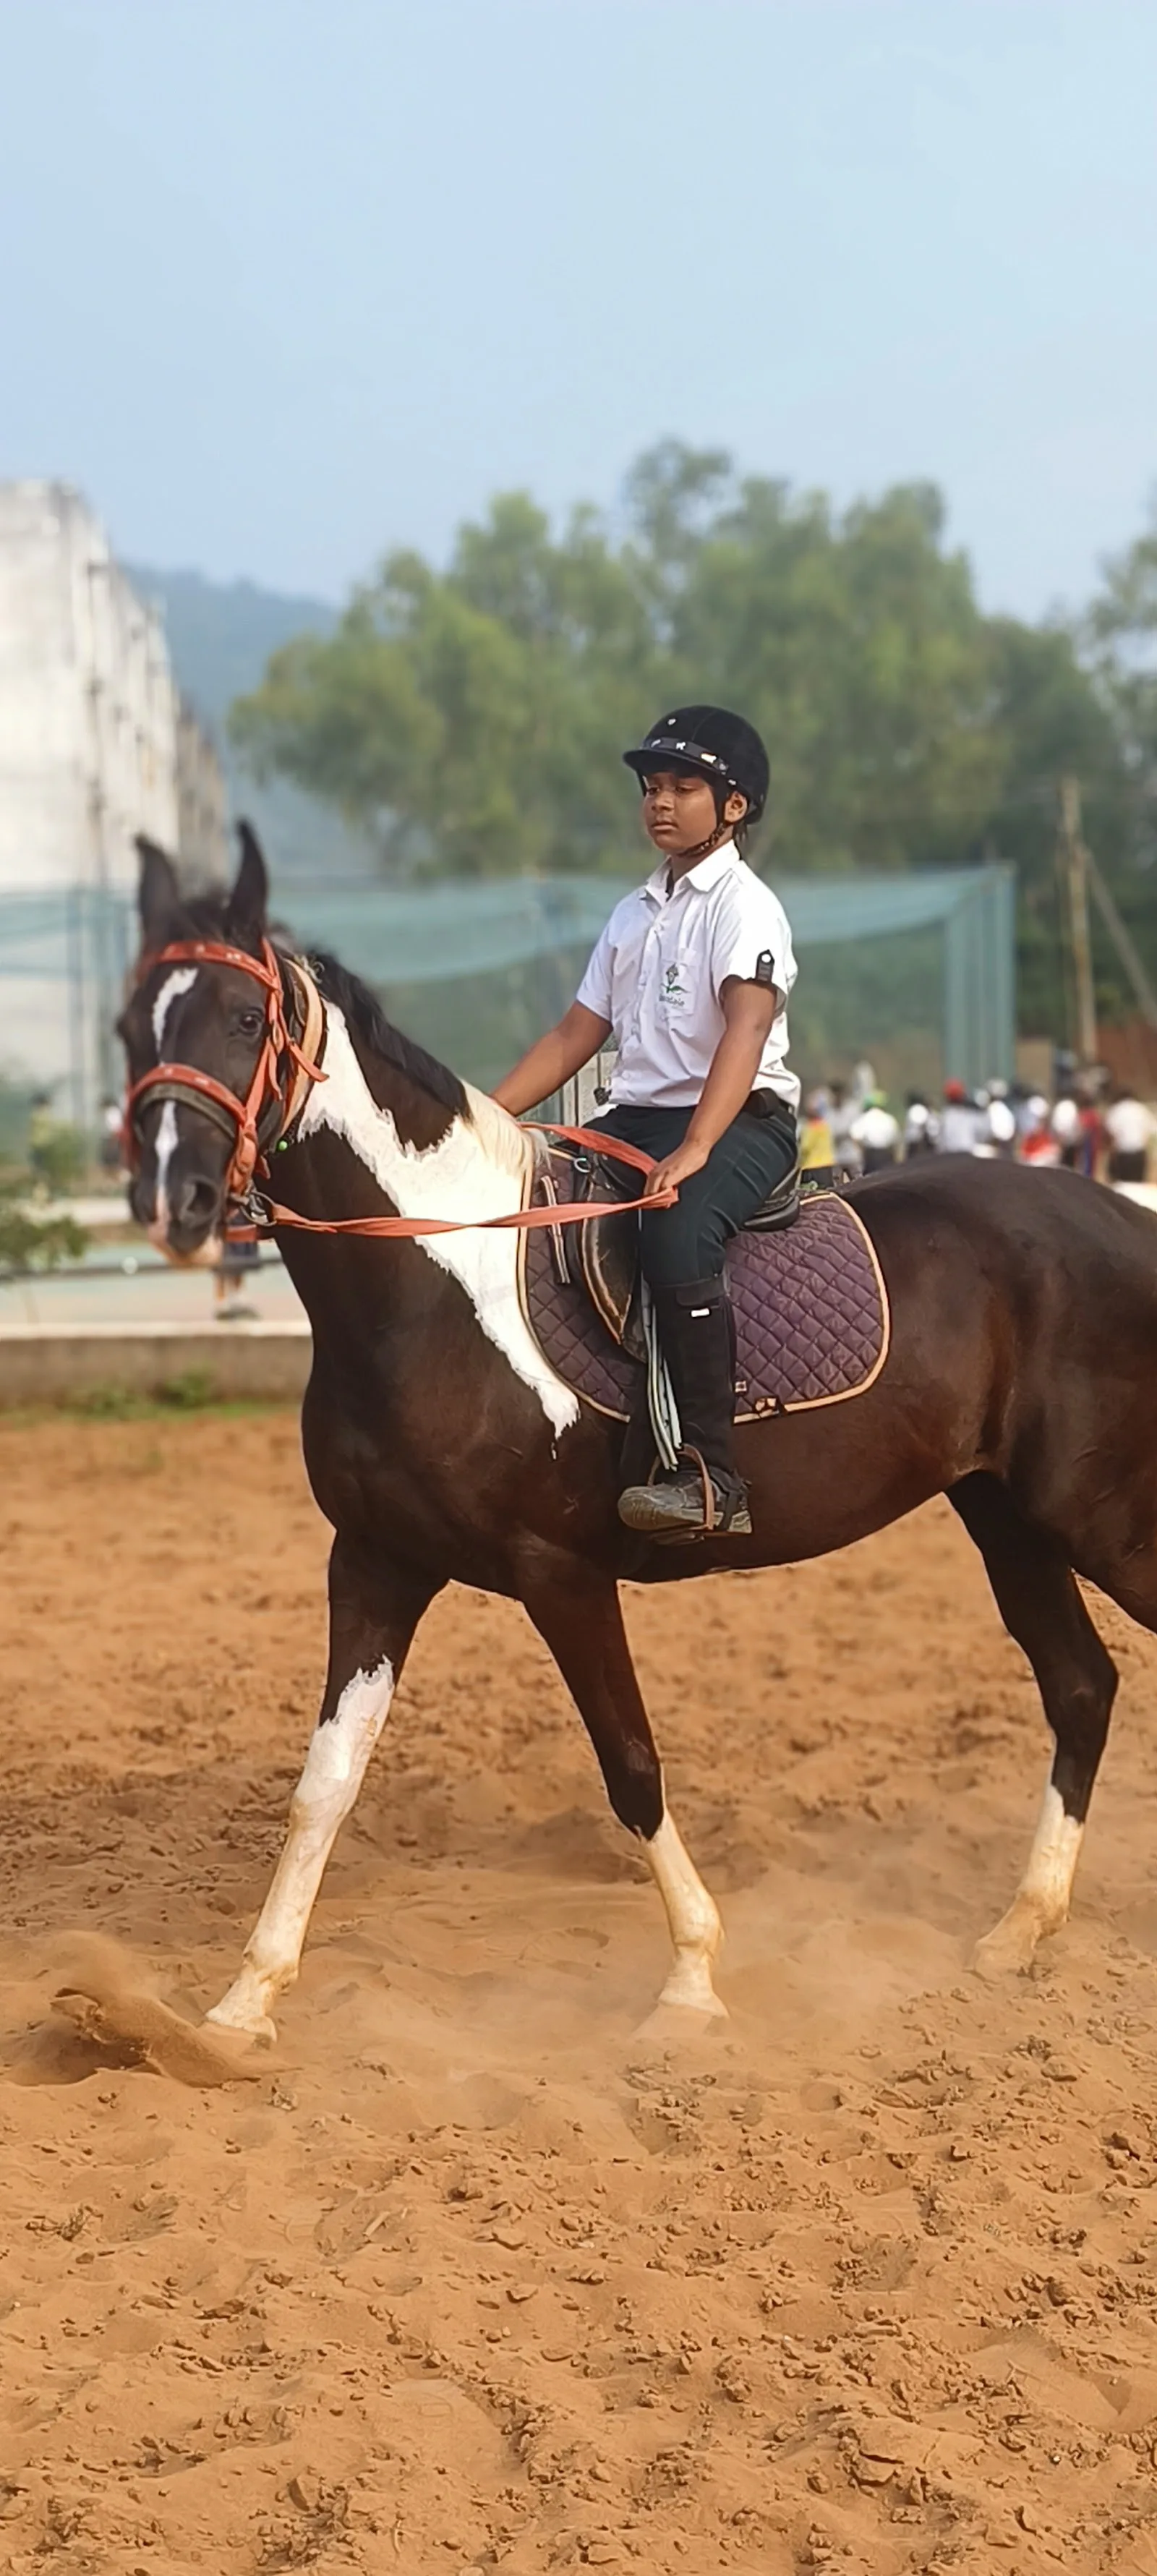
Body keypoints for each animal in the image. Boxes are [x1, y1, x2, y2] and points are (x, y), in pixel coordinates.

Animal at [117, 825, 1157, 2043]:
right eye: (133, 1026)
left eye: (243, 1018)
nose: (173, 1201)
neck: (433, 1284)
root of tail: (1120, 1214)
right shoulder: (375, 1562)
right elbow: (323, 1782)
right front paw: (240, 2007)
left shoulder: (561, 1572)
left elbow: (632, 1765)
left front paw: (692, 1981)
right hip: (1008, 1513)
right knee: (1080, 1684)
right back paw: (1019, 1927)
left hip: (1094, 1513)